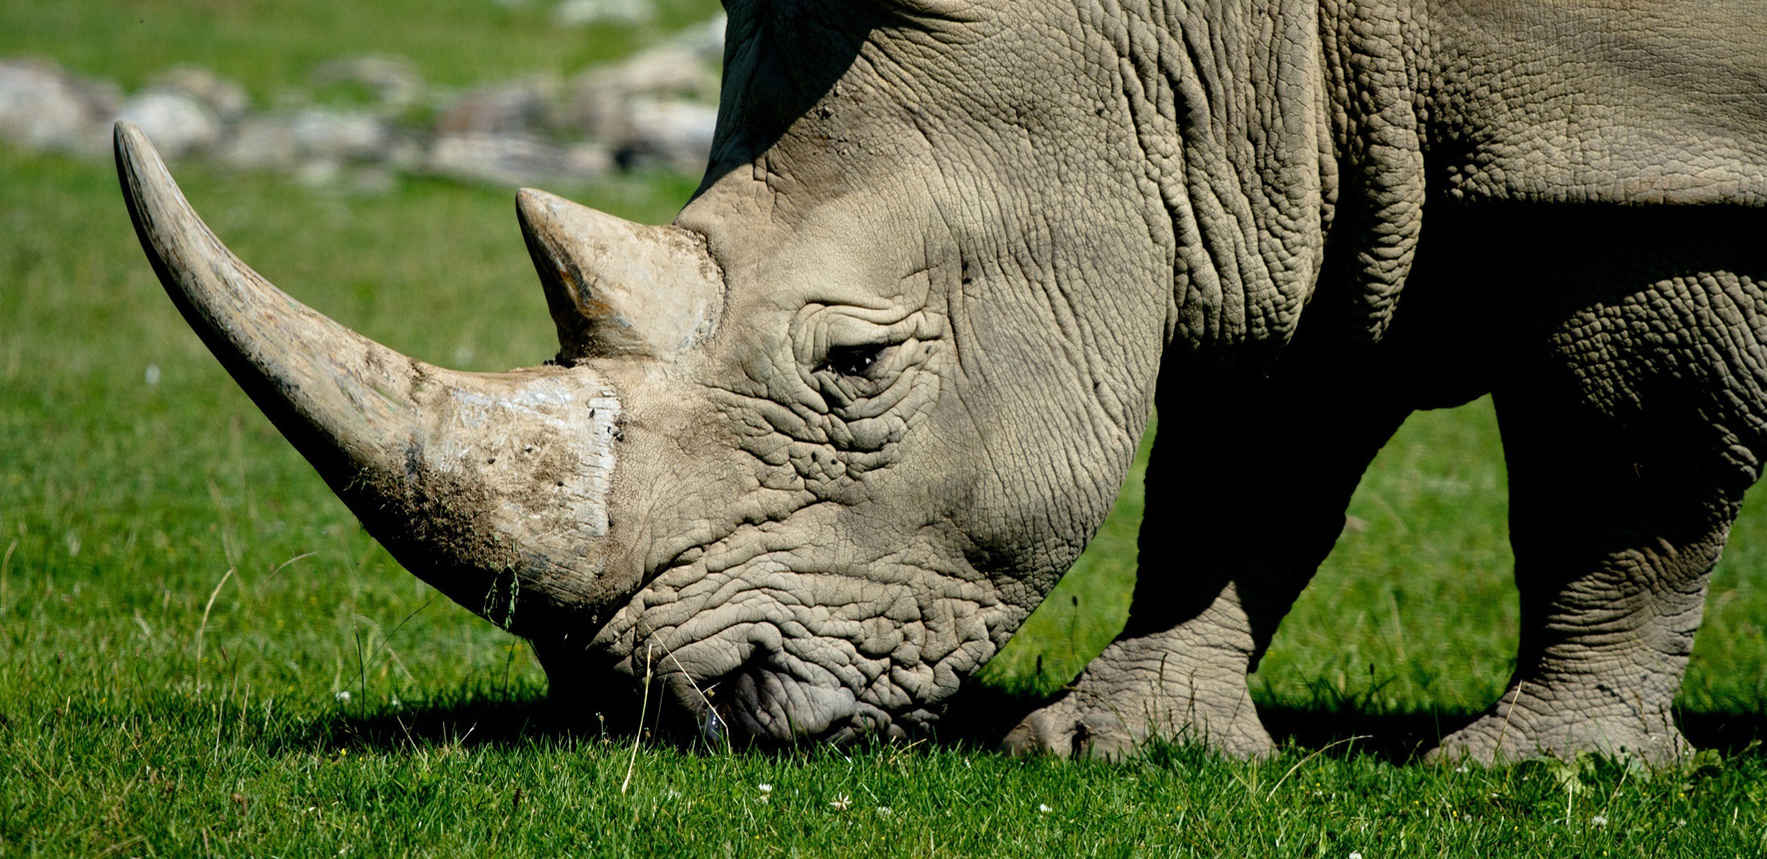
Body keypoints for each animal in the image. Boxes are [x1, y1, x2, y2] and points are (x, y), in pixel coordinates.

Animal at [117, 0, 1767, 764]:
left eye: (853, 363)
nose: (673, 710)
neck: (1196, 34)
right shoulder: (1272, 172)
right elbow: (1242, 467)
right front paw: (1125, 744)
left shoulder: (1650, 161)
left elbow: (1626, 472)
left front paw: (1535, 765)